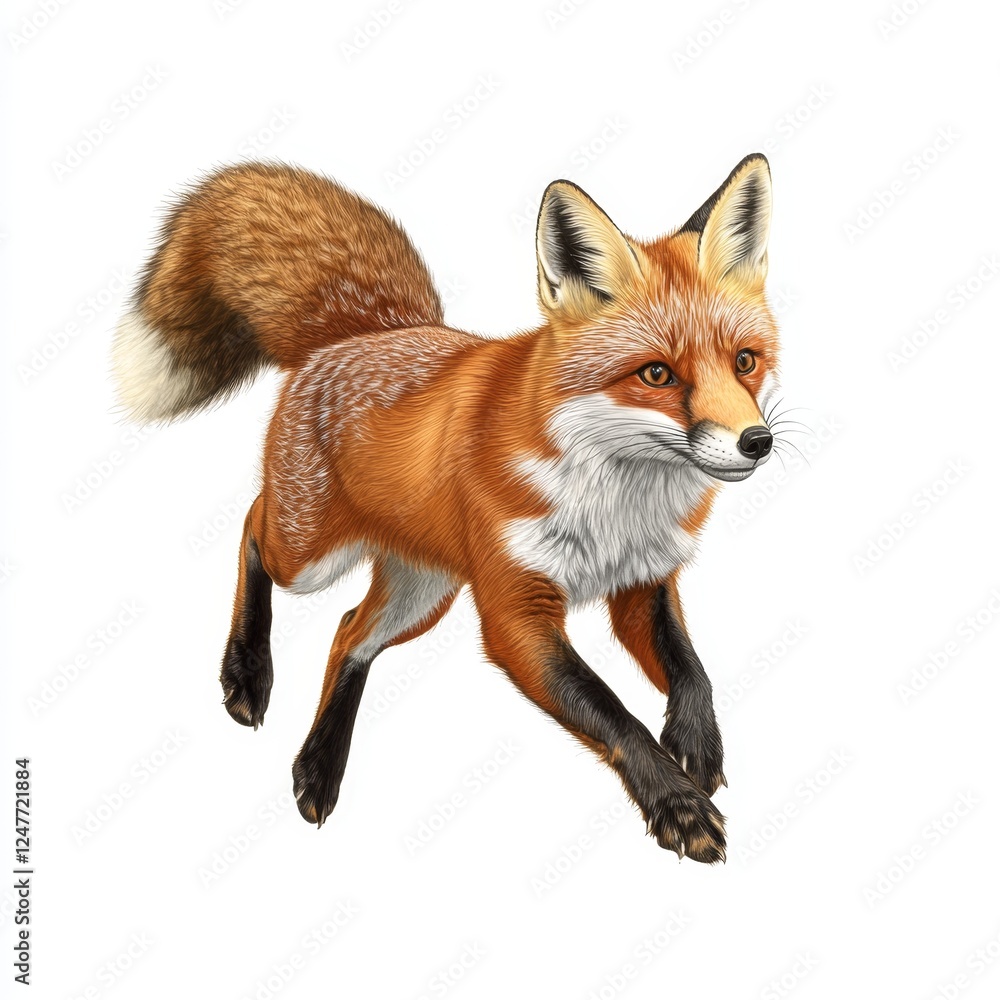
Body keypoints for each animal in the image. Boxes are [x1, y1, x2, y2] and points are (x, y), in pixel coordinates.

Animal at [112, 154, 784, 864]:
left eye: (745, 362)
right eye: (656, 374)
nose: (757, 442)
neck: (616, 507)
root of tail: (367, 330)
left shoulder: (643, 581)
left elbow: (691, 670)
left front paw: (697, 744)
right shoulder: (515, 612)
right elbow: (615, 718)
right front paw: (678, 805)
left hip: (425, 589)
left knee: (349, 632)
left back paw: (319, 768)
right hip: (310, 556)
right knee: (250, 527)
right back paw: (246, 671)